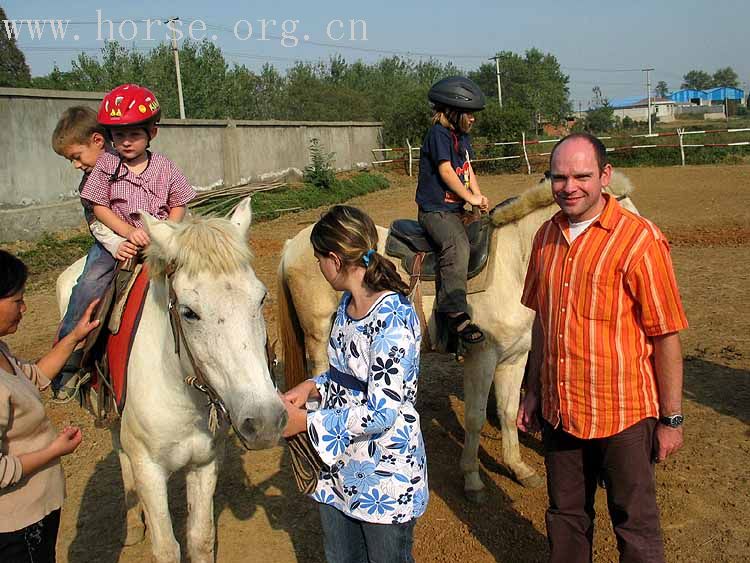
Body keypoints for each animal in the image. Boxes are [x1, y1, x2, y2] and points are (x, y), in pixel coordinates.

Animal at [57, 200, 288, 563]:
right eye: (189, 312)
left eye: (262, 298)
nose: (264, 421)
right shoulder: (150, 471)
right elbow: (167, 548)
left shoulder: (205, 463)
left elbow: (200, 538)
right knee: (121, 453)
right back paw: (132, 524)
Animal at [276, 174, 640, 500]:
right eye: (612, 227)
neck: (514, 263)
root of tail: (294, 244)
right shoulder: (482, 357)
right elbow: (476, 418)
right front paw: (473, 479)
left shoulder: (515, 357)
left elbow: (509, 412)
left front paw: (518, 468)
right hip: (319, 336)